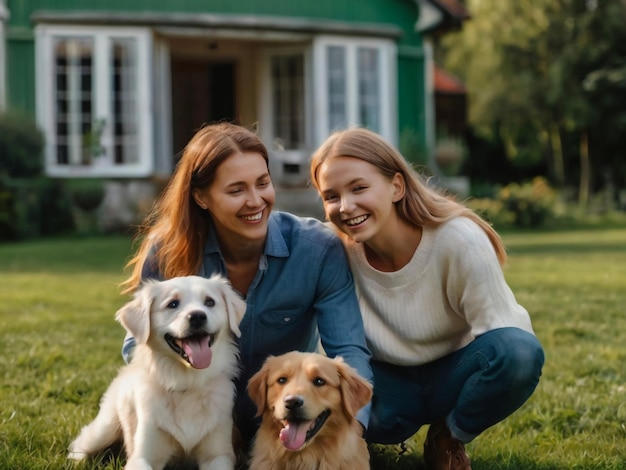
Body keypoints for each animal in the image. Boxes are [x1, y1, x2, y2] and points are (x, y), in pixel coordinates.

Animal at [67, 276, 244, 470]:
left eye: (210, 302)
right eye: (172, 304)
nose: (197, 316)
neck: (187, 383)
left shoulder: (219, 454)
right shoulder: (143, 456)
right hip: (105, 428)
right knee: (80, 443)